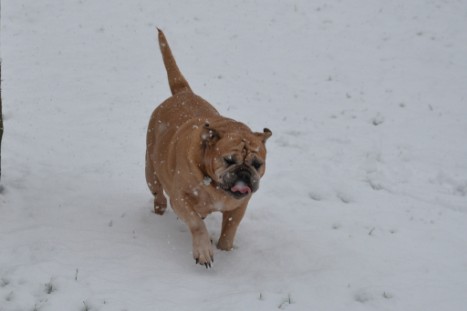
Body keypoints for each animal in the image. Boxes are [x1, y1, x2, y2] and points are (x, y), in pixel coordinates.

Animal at [144, 29, 272, 268]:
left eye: (257, 164)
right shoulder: (180, 198)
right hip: (151, 172)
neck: (212, 184)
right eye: (229, 160)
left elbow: (230, 229)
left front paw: (225, 250)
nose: (244, 173)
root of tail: (181, 92)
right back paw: (159, 210)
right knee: (159, 194)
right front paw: (203, 251)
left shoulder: (239, 206)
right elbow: (195, 223)